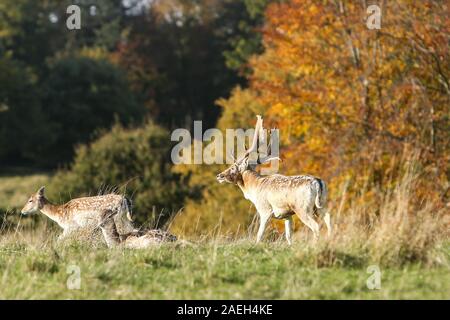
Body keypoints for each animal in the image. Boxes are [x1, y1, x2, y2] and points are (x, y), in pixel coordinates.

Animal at [216, 116, 332, 244]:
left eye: (233, 167)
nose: (219, 175)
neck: (254, 189)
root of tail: (318, 182)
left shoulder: (265, 210)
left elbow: (259, 235)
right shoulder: (287, 215)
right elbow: (288, 236)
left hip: (302, 207)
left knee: (315, 226)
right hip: (321, 204)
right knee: (328, 218)